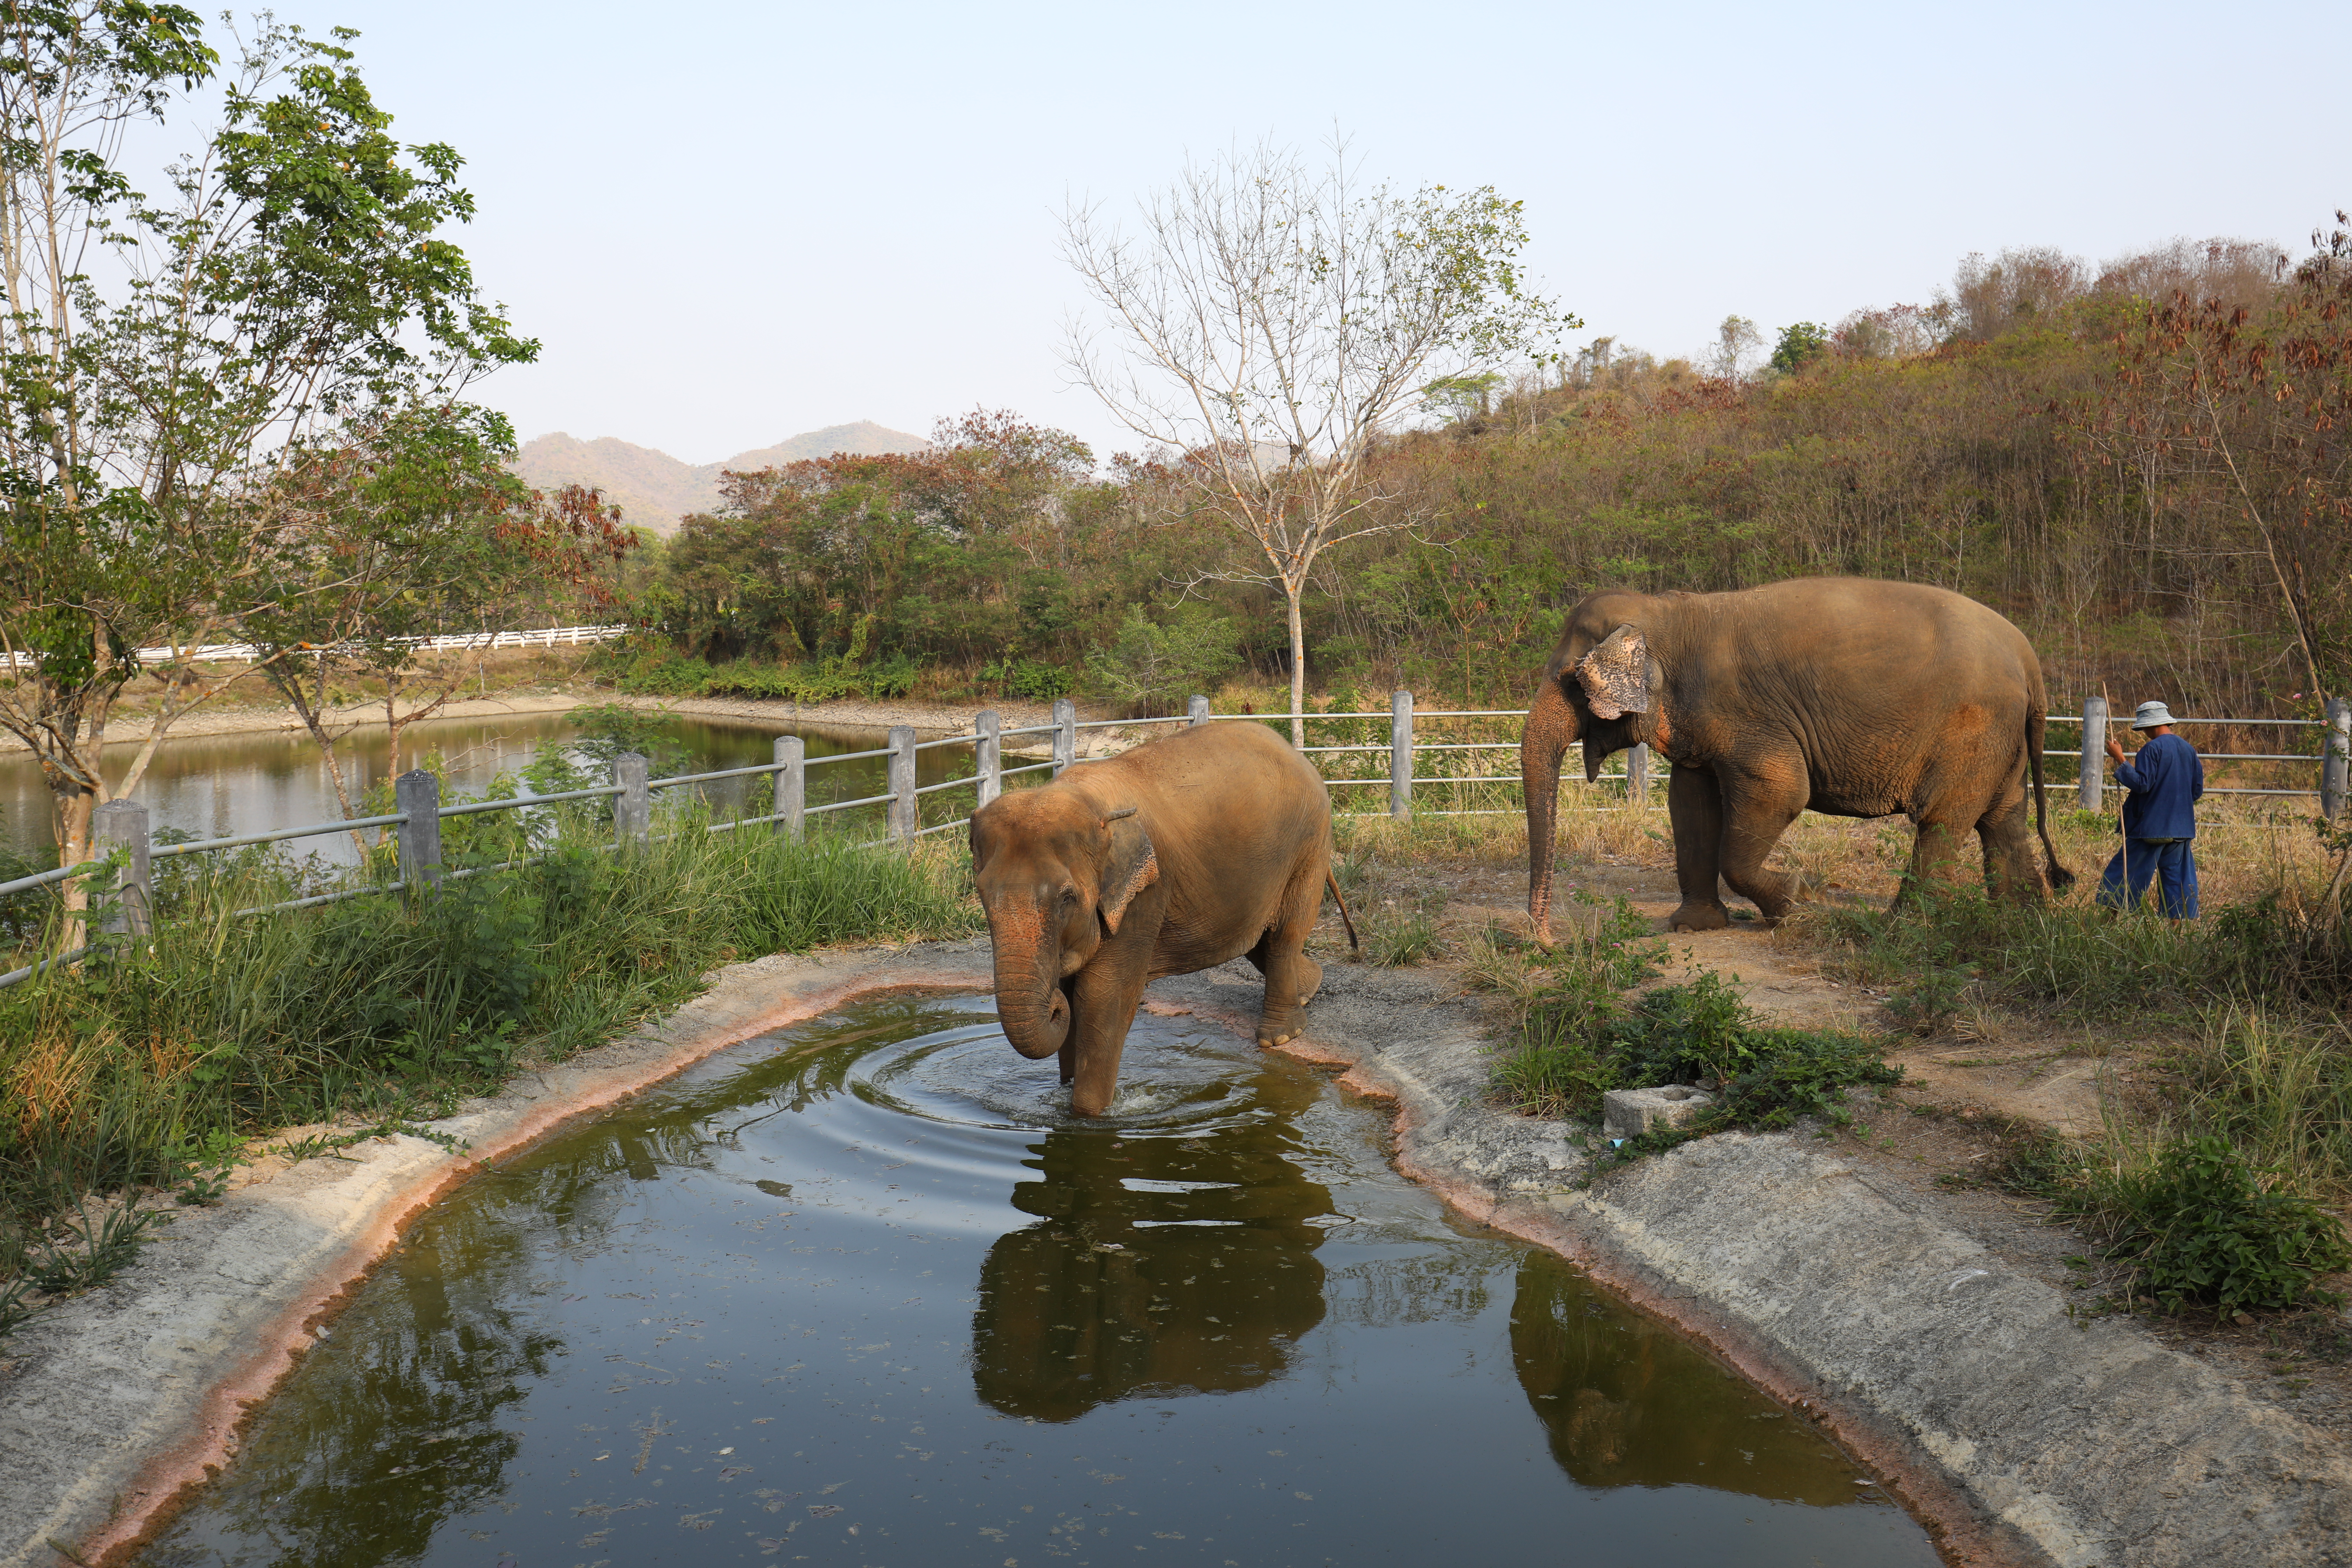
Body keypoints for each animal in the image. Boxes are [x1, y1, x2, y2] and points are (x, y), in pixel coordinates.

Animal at [970, 721, 1356, 1117]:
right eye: (982, 894)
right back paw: (1309, 990)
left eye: (1067, 899)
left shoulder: (1145, 894)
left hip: (1309, 843)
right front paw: (1065, 1093)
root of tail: (1296, 753)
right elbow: (1073, 992)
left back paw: (1279, 1037)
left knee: (1283, 934)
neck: (1086, 800)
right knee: (1256, 938)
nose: (1052, 1007)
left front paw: (1089, 1115)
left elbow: (1102, 997)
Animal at [1519, 577, 2073, 941]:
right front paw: (1694, 927)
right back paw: (2023, 922)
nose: (1549, 942)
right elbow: (1690, 804)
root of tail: (2028, 656)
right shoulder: (1701, 722)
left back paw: (1904, 928)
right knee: (2003, 819)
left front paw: (1801, 901)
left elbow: (1782, 791)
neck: (1668, 613)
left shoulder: (1749, 715)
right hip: (2003, 738)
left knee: (1942, 820)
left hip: (1973, 729)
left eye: (1571, 681)